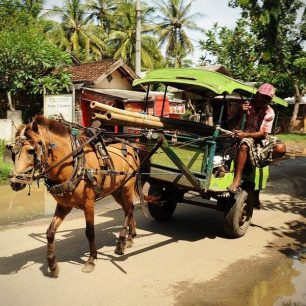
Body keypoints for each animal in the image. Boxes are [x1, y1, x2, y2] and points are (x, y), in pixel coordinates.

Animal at [7, 115, 151, 278]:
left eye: (31, 151)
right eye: (13, 152)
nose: (14, 182)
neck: (73, 164)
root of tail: (132, 147)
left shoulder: (89, 204)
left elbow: (90, 232)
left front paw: (91, 260)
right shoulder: (64, 205)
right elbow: (50, 232)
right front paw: (52, 265)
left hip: (127, 188)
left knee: (129, 209)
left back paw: (121, 242)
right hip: (116, 191)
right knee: (129, 208)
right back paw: (130, 237)